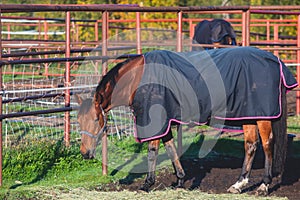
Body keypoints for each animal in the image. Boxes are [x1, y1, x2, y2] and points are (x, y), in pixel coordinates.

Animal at [77, 47, 298, 195]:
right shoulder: (165, 121)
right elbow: (171, 149)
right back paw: (239, 185)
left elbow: (152, 151)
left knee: (267, 144)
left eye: (96, 119)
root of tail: (275, 60)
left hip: (262, 117)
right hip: (249, 114)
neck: (137, 79)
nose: (85, 153)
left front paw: (148, 183)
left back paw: (264, 185)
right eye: (78, 121)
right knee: (251, 145)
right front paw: (180, 181)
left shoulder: (154, 120)